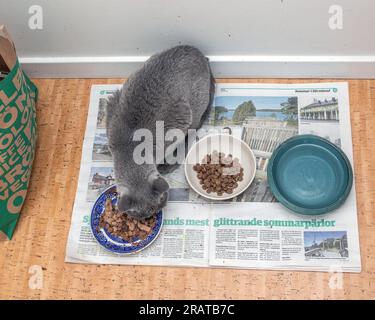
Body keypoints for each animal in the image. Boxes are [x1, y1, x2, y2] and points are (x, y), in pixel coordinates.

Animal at [107, 45, 216, 219]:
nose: (153, 214)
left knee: (192, 133)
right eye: (141, 215)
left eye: (160, 202)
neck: (127, 147)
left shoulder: (175, 126)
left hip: (193, 109)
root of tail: (198, 52)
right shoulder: (111, 107)